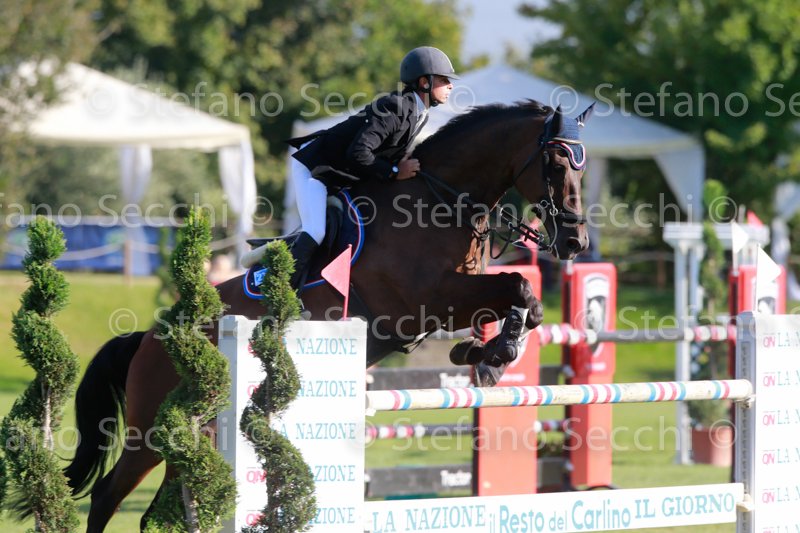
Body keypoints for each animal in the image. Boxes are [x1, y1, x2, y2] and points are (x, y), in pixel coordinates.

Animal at [64, 100, 591, 531]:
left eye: (581, 170)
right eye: (555, 163)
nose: (575, 242)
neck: (441, 201)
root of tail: (147, 338)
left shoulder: (454, 297)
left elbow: (523, 299)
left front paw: (484, 353)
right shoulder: (429, 299)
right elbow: (518, 285)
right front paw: (494, 355)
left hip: (190, 437)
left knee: (162, 509)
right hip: (151, 434)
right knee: (107, 496)